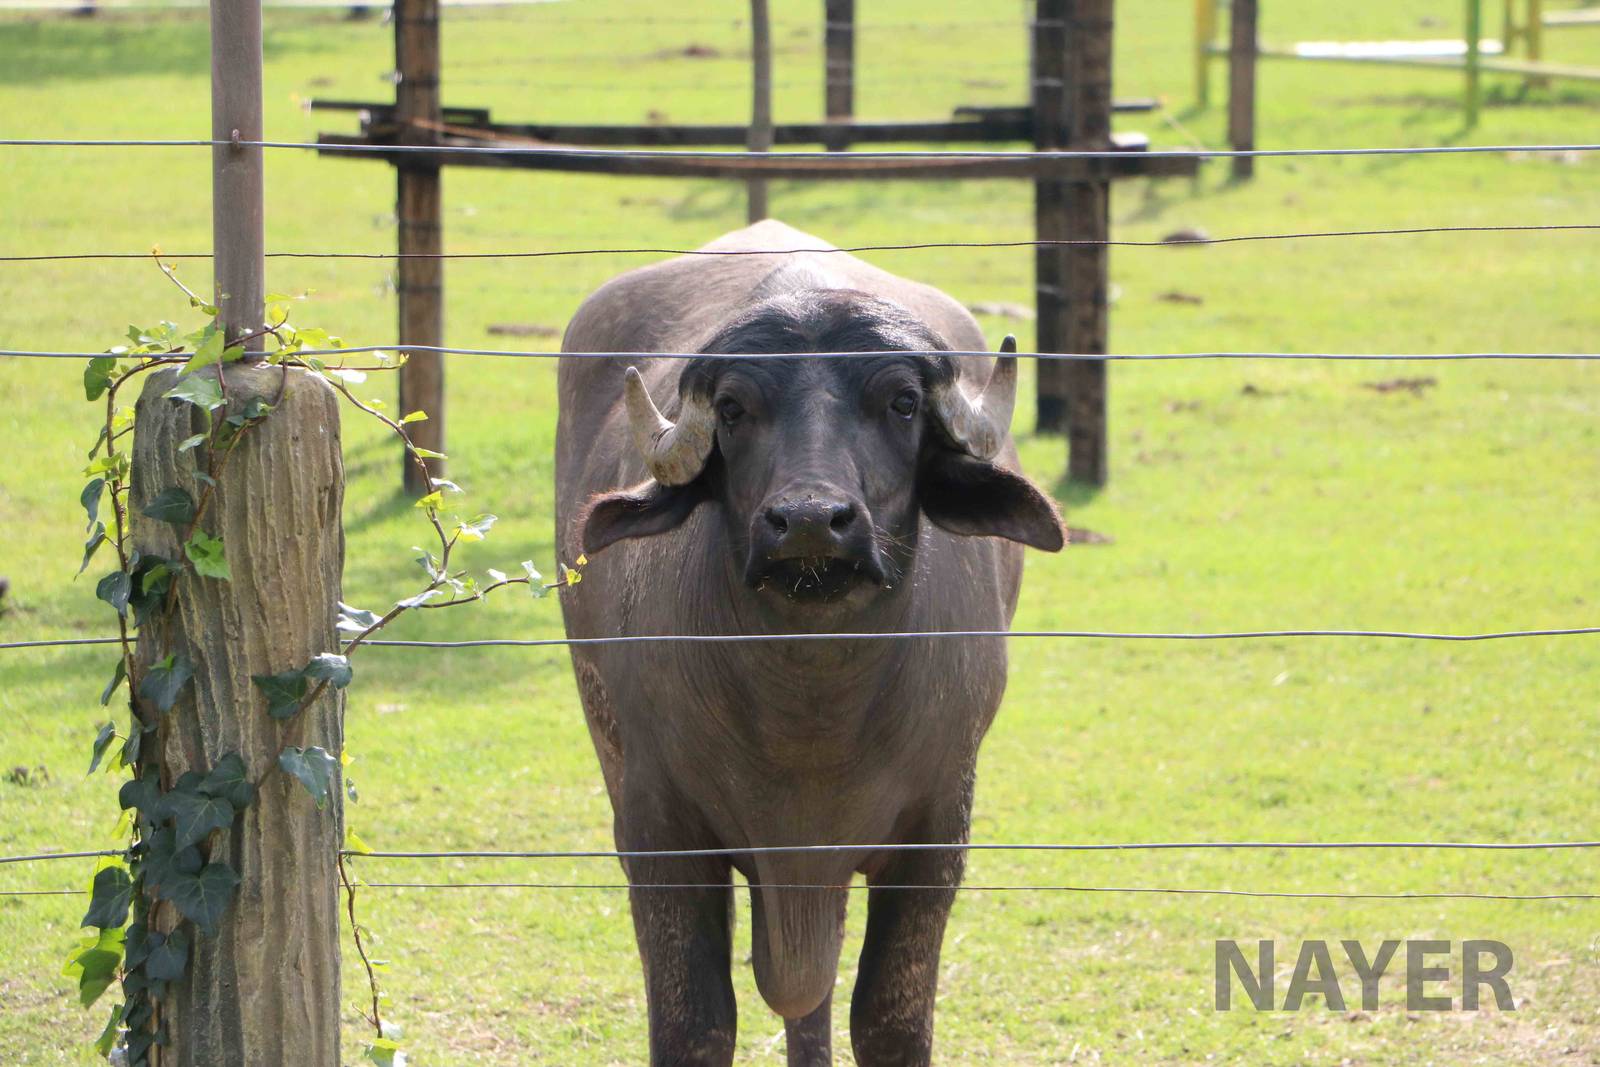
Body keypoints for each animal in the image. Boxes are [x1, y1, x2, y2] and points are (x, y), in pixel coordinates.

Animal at [555, 219, 1064, 1065]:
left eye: (901, 402)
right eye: (733, 407)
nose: (809, 522)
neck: (810, 714)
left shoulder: (936, 835)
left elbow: (888, 1020)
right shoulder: (659, 833)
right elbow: (696, 1023)